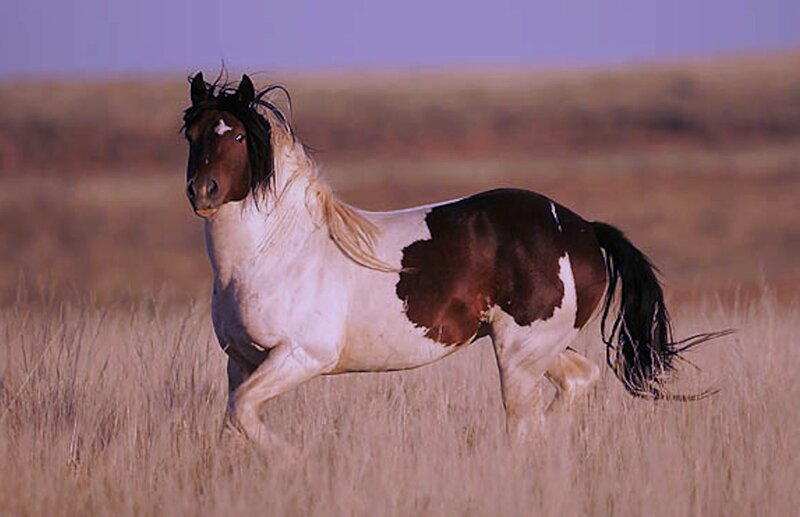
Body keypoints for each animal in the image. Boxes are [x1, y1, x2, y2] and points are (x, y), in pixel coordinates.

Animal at [182, 72, 723, 447]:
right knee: (575, 382)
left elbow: (243, 413)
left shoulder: (301, 356)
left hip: (520, 353)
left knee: (524, 422)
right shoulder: (242, 361)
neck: (275, 251)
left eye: (237, 136)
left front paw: (294, 462)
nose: (202, 191)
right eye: (192, 134)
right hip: (539, 346)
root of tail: (584, 230)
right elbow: (234, 420)